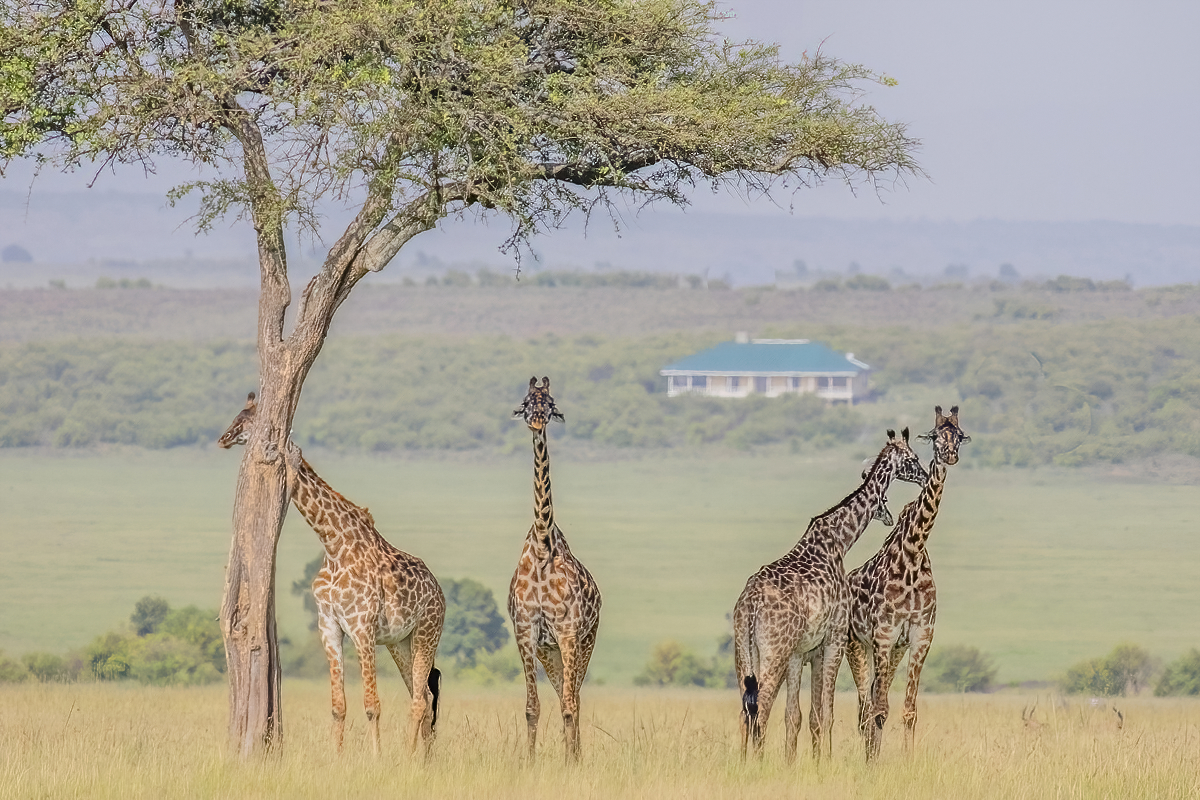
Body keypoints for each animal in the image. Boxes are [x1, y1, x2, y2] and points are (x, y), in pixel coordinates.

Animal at [218, 393, 445, 756]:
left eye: (245, 420)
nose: (223, 438)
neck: (333, 542)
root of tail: (440, 591)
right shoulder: (330, 626)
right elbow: (338, 706)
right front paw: (335, 758)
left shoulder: (362, 627)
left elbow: (372, 704)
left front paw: (376, 759)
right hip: (400, 641)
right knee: (421, 693)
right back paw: (422, 757)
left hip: (427, 631)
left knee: (420, 699)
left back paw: (411, 758)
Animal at [734, 429, 927, 762]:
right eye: (913, 459)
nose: (926, 475)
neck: (839, 541)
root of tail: (749, 604)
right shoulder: (835, 636)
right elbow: (826, 713)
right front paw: (824, 761)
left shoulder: (802, 651)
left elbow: (799, 714)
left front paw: (799, 762)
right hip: (774, 651)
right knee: (761, 708)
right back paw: (756, 764)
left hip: (745, 654)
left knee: (747, 709)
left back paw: (743, 764)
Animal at [846, 405, 971, 762]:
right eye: (934, 436)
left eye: (960, 435)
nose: (949, 455)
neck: (913, 551)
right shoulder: (884, 636)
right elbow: (879, 709)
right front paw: (873, 763)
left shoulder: (919, 636)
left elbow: (908, 710)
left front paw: (908, 760)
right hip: (856, 646)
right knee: (866, 707)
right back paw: (868, 756)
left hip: (891, 650)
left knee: (874, 702)